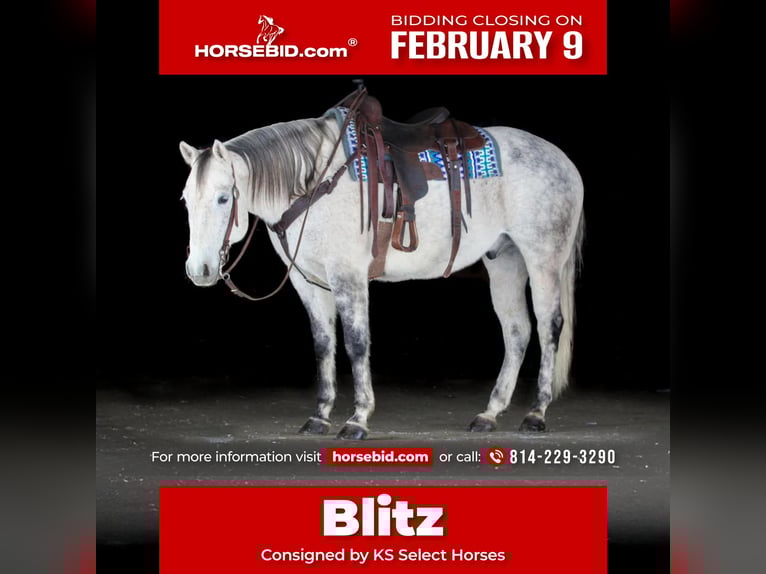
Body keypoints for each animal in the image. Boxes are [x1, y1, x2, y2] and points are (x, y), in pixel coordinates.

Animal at [179, 99, 584, 440]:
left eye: (223, 198)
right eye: (186, 200)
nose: (199, 269)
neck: (313, 184)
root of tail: (563, 161)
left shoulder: (348, 277)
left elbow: (357, 343)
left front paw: (357, 419)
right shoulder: (308, 282)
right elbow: (323, 344)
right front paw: (320, 416)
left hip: (543, 258)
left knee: (549, 327)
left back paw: (536, 413)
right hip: (505, 261)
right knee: (517, 332)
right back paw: (490, 413)